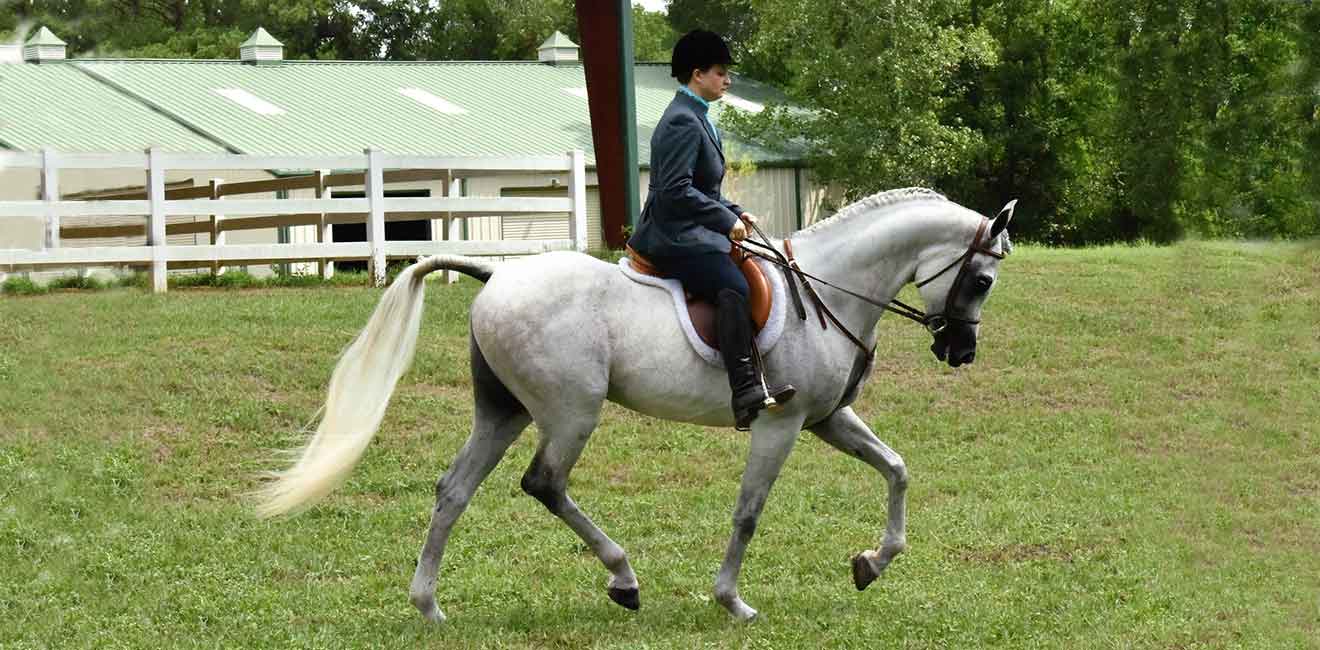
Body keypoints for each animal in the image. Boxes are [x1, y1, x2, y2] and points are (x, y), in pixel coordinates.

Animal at [260, 187, 1019, 623]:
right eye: (981, 280)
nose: (960, 351)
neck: (830, 287)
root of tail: (495, 278)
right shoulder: (780, 421)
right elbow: (749, 512)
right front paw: (732, 600)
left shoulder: (826, 419)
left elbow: (896, 469)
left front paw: (871, 563)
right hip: (572, 412)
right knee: (545, 483)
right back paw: (622, 578)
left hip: (504, 412)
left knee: (453, 490)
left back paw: (429, 606)